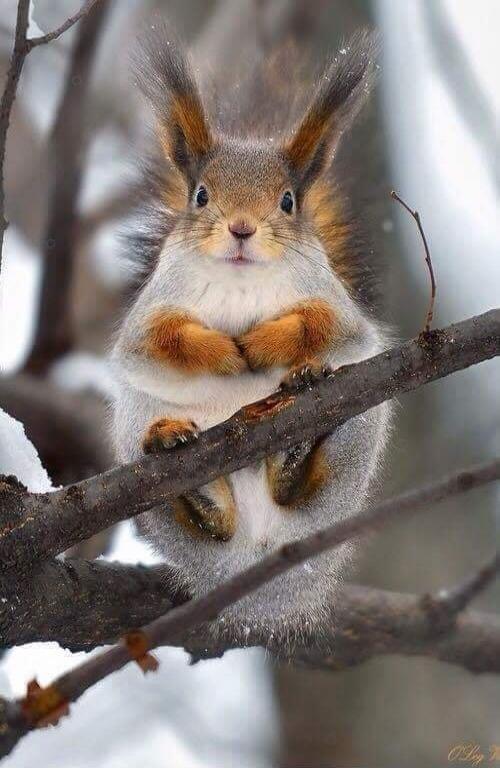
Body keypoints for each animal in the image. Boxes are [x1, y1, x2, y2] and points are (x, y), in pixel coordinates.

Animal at [110, 25, 391, 637]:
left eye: (287, 201)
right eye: (201, 195)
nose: (242, 229)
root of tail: (259, 559)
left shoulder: (336, 309)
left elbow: (322, 326)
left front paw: (261, 345)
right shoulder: (149, 317)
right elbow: (162, 341)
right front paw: (223, 351)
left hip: (357, 431)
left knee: (304, 489)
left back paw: (294, 451)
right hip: (132, 429)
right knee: (208, 521)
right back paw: (185, 468)